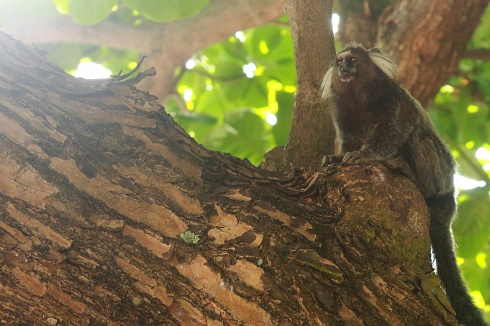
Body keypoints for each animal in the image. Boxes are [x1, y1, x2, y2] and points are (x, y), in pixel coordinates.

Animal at [322, 44, 486, 326]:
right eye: (340, 62)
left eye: (353, 60)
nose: (345, 68)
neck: (358, 96)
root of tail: (449, 198)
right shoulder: (342, 112)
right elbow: (348, 141)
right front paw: (337, 157)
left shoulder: (394, 99)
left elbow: (395, 131)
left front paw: (366, 155)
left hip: (439, 171)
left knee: (418, 135)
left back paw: (411, 175)